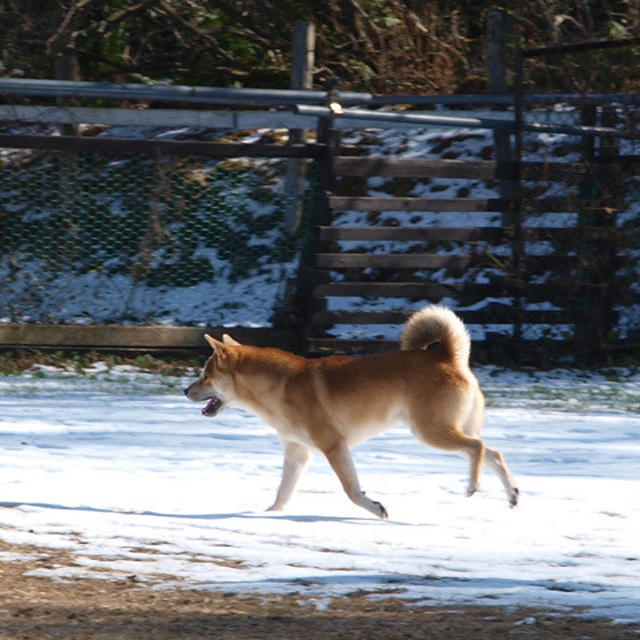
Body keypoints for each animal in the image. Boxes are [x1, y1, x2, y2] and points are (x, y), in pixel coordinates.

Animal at [185, 306, 520, 520]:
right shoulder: (297, 453)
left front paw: (375, 508)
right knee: (493, 452)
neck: (279, 386)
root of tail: (448, 356)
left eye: (205, 375)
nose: (186, 391)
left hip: (431, 432)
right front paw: (269, 515)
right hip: (449, 429)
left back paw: (473, 486)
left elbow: (351, 490)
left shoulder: (334, 447)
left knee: (477, 448)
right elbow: (283, 491)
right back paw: (512, 494)